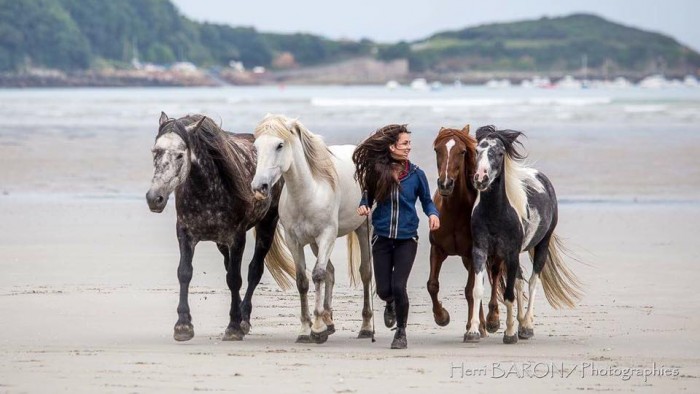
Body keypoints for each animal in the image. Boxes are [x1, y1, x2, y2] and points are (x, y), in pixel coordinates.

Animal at [250, 113, 374, 342]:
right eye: (256, 146)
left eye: (280, 145)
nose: (259, 187)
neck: (307, 193)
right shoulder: (294, 241)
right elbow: (303, 280)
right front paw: (305, 330)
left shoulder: (327, 236)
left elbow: (317, 275)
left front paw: (316, 329)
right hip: (317, 245)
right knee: (331, 272)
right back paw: (329, 321)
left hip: (362, 229)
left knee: (365, 273)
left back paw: (366, 327)